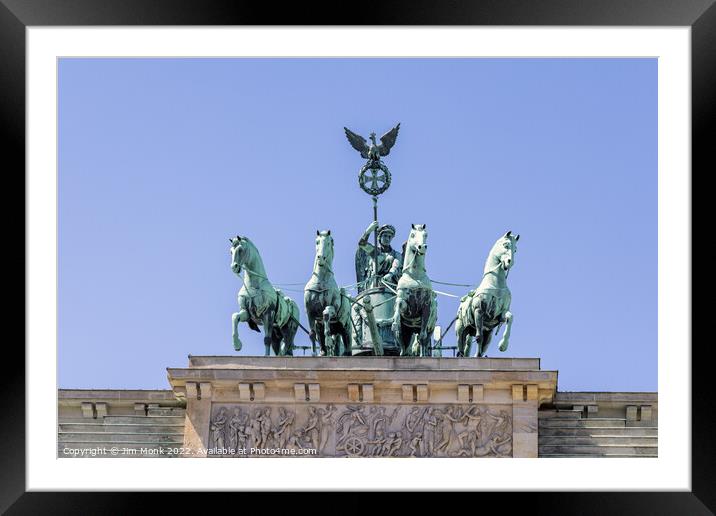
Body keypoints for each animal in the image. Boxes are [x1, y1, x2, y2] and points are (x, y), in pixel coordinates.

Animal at [392, 224, 436, 356]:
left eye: (425, 234)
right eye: (412, 234)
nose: (422, 247)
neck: (415, 276)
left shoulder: (426, 306)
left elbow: (422, 337)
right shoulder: (405, 303)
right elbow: (399, 305)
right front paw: (395, 320)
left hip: (429, 329)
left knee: (423, 341)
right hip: (405, 333)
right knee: (403, 348)